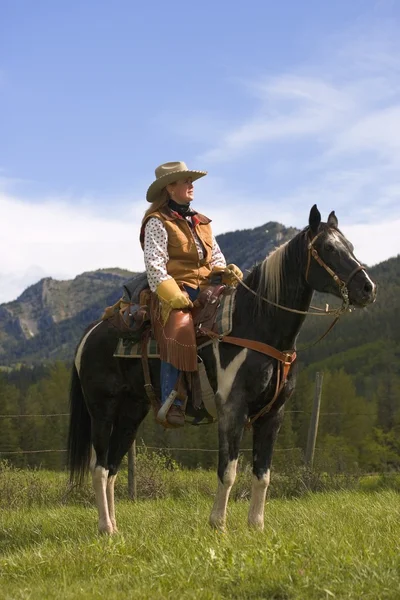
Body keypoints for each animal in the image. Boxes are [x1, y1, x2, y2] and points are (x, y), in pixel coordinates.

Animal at [65, 206, 376, 536]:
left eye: (350, 246)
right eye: (328, 248)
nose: (368, 288)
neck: (255, 324)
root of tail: (92, 331)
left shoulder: (273, 414)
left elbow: (263, 474)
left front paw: (256, 526)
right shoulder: (232, 408)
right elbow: (228, 470)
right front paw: (218, 525)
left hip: (131, 412)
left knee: (112, 467)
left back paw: (114, 526)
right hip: (102, 410)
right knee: (99, 467)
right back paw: (105, 527)